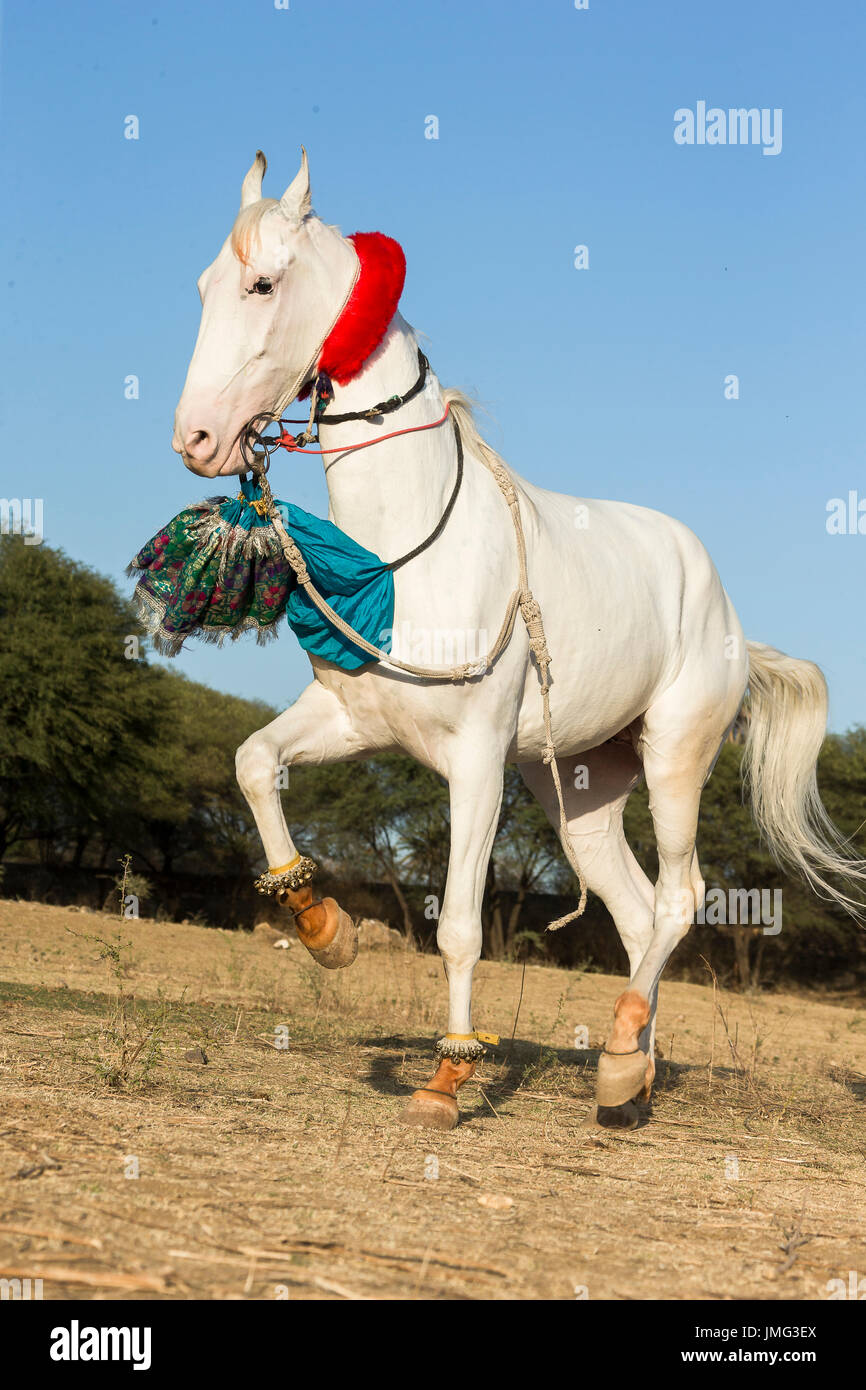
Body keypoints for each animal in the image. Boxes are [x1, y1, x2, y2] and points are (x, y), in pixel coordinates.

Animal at [173, 152, 861, 1128]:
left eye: (262, 284)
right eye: (202, 285)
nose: (196, 438)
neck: (407, 547)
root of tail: (727, 609)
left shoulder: (476, 762)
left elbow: (461, 925)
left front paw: (447, 1078)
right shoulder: (352, 720)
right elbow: (252, 763)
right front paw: (324, 929)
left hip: (674, 757)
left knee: (681, 899)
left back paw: (620, 1059)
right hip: (580, 792)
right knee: (637, 911)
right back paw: (629, 1068)